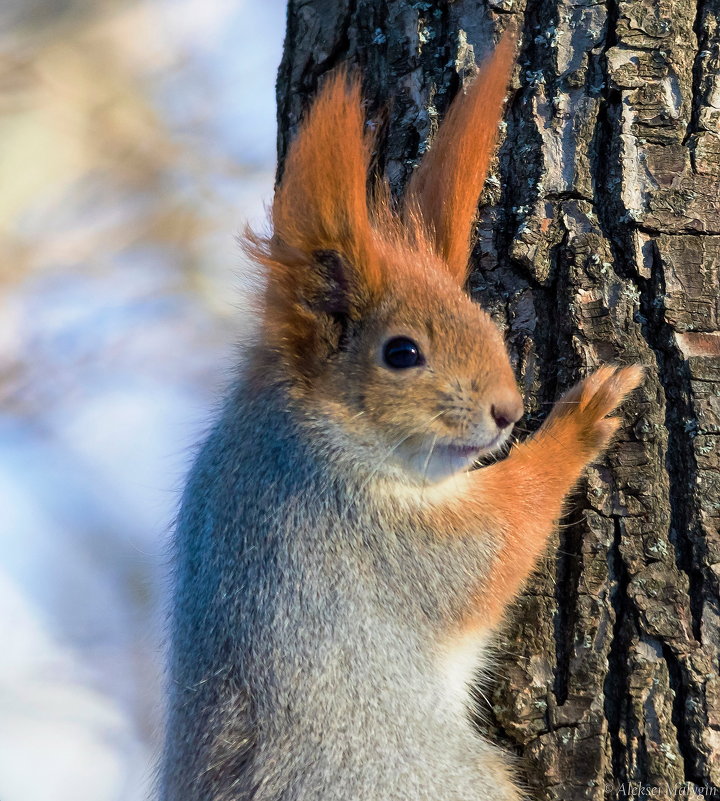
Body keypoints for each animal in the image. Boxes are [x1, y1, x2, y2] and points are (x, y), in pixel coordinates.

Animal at [160, 29, 644, 800]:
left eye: (486, 317)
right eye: (402, 352)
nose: (509, 411)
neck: (307, 431)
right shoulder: (377, 534)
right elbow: (505, 532)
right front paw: (577, 423)